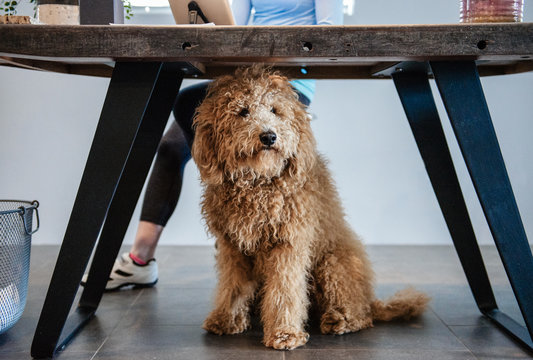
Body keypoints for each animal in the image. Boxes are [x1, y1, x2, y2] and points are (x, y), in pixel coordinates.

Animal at [191, 66, 428, 350]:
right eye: (243, 111)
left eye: (275, 110)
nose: (269, 136)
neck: (259, 183)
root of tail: (371, 299)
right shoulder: (233, 247)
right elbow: (232, 285)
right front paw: (227, 320)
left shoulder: (288, 244)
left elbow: (285, 290)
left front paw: (284, 333)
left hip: (332, 263)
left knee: (361, 315)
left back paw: (340, 319)